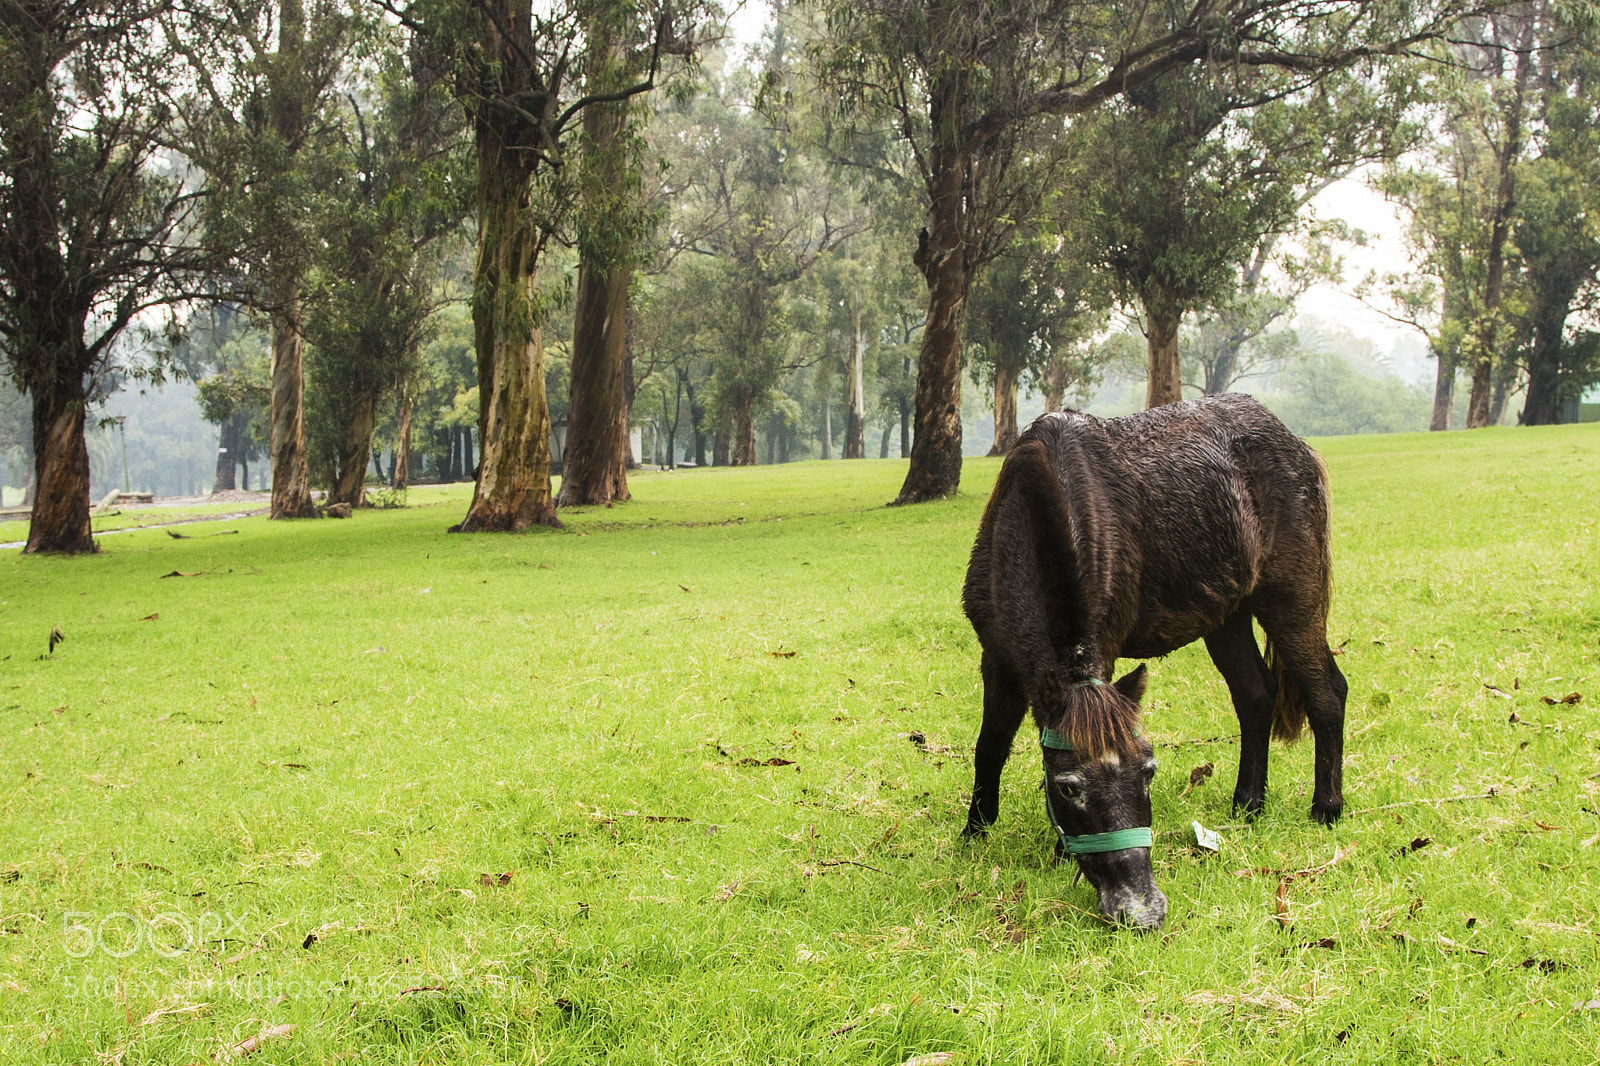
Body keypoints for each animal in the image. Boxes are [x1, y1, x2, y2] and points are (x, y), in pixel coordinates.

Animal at [960, 395, 1348, 930]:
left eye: (1148, 772)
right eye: (1068, 788)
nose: (1141, 909)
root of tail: (1295, 444)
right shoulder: (997, 657)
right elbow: (990, 748)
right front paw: (973, 833)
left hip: (1292, 601)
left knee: (1328, 692)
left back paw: (1326, 808)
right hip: (1226, 618)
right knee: (1256, 697)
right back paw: (1247, 805)